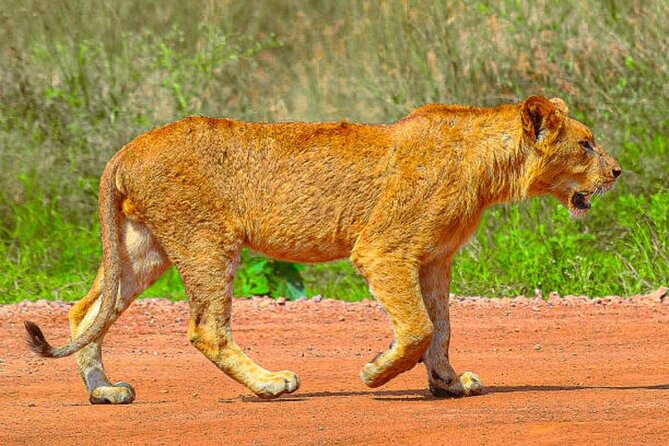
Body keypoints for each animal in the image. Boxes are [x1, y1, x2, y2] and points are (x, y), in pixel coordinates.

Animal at [25, 95, 621, 404]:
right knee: (206, 329)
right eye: (586, 143)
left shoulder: (434, 259)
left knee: (84, 311)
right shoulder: (384, 249)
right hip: (206, 240)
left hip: (143, 248)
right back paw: (270, 383)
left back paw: (103, 391)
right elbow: (418, 328)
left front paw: (448, 382)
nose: (617, 171)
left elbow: (442, 328)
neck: (490, 168)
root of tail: (127, 148)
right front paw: (376, 373)